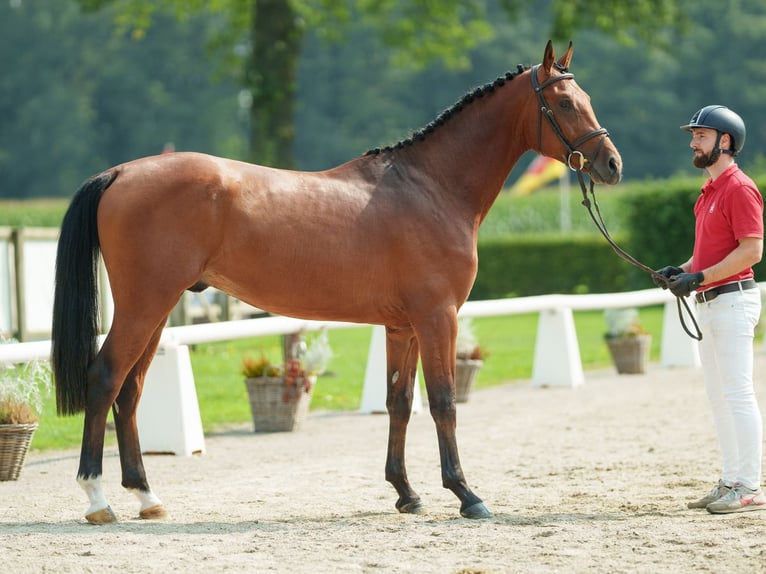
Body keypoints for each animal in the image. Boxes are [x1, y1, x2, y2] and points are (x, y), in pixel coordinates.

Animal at [51, 40, 620, 528]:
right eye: (565, 103)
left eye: (587, 99)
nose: (612, 165)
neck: (430, 187)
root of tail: (121, 173)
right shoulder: (437, 317)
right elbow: (443, 401)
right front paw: (466, 494)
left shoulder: (402, 326)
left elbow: (399, 402)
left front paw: (406, 493)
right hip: (144, 305)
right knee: (105, 379)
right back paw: (98, 499)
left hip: (158, 309)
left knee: (130, 391)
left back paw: (146, 496)